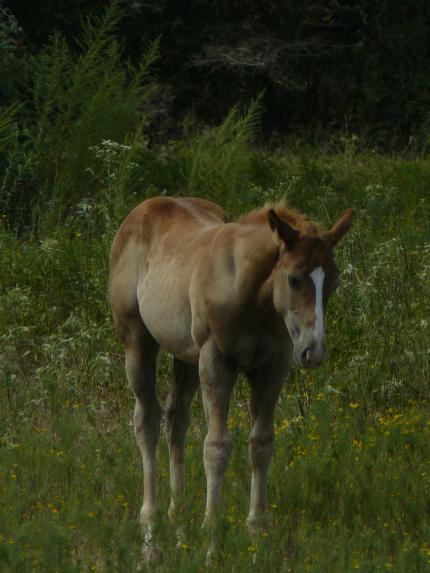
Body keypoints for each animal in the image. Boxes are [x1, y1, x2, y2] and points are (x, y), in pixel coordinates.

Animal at [109, 197, 354, 560]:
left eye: (334, 283)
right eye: (294, 279)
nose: (314, 351)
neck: (253, 295)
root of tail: (140, 211)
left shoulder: (273, 366)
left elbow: (262, 445)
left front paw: (256, 540)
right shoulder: (216, 360)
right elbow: (217, 447)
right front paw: (212, 543)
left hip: (186, 356)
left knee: (176, 420)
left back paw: (179, 528)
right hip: (138, 341)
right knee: (146, 421)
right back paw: (150, 538)